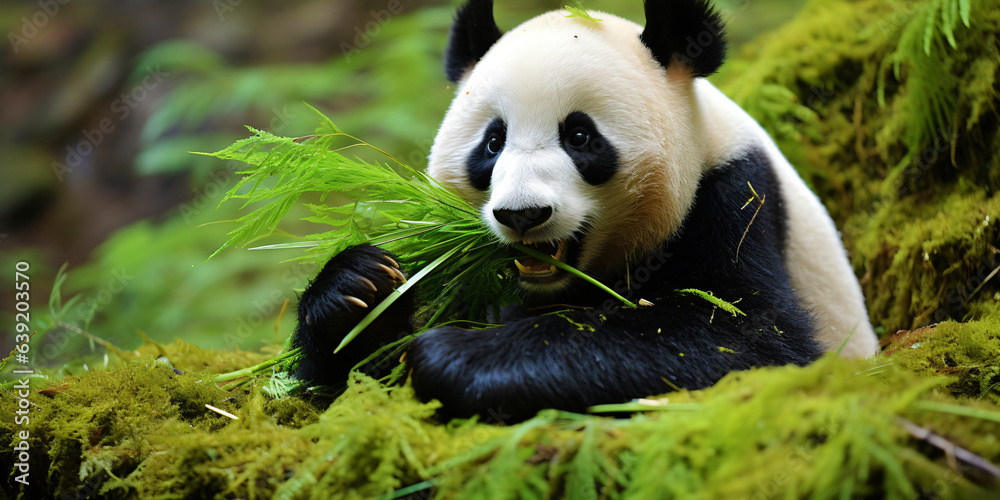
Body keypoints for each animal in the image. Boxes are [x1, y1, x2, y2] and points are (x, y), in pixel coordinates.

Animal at [292, 0, 880, 422]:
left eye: (579, 136)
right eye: (492, 143)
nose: (522, 214)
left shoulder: (732, 198)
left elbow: (748, 338)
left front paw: (452, 357)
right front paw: (359, 288)